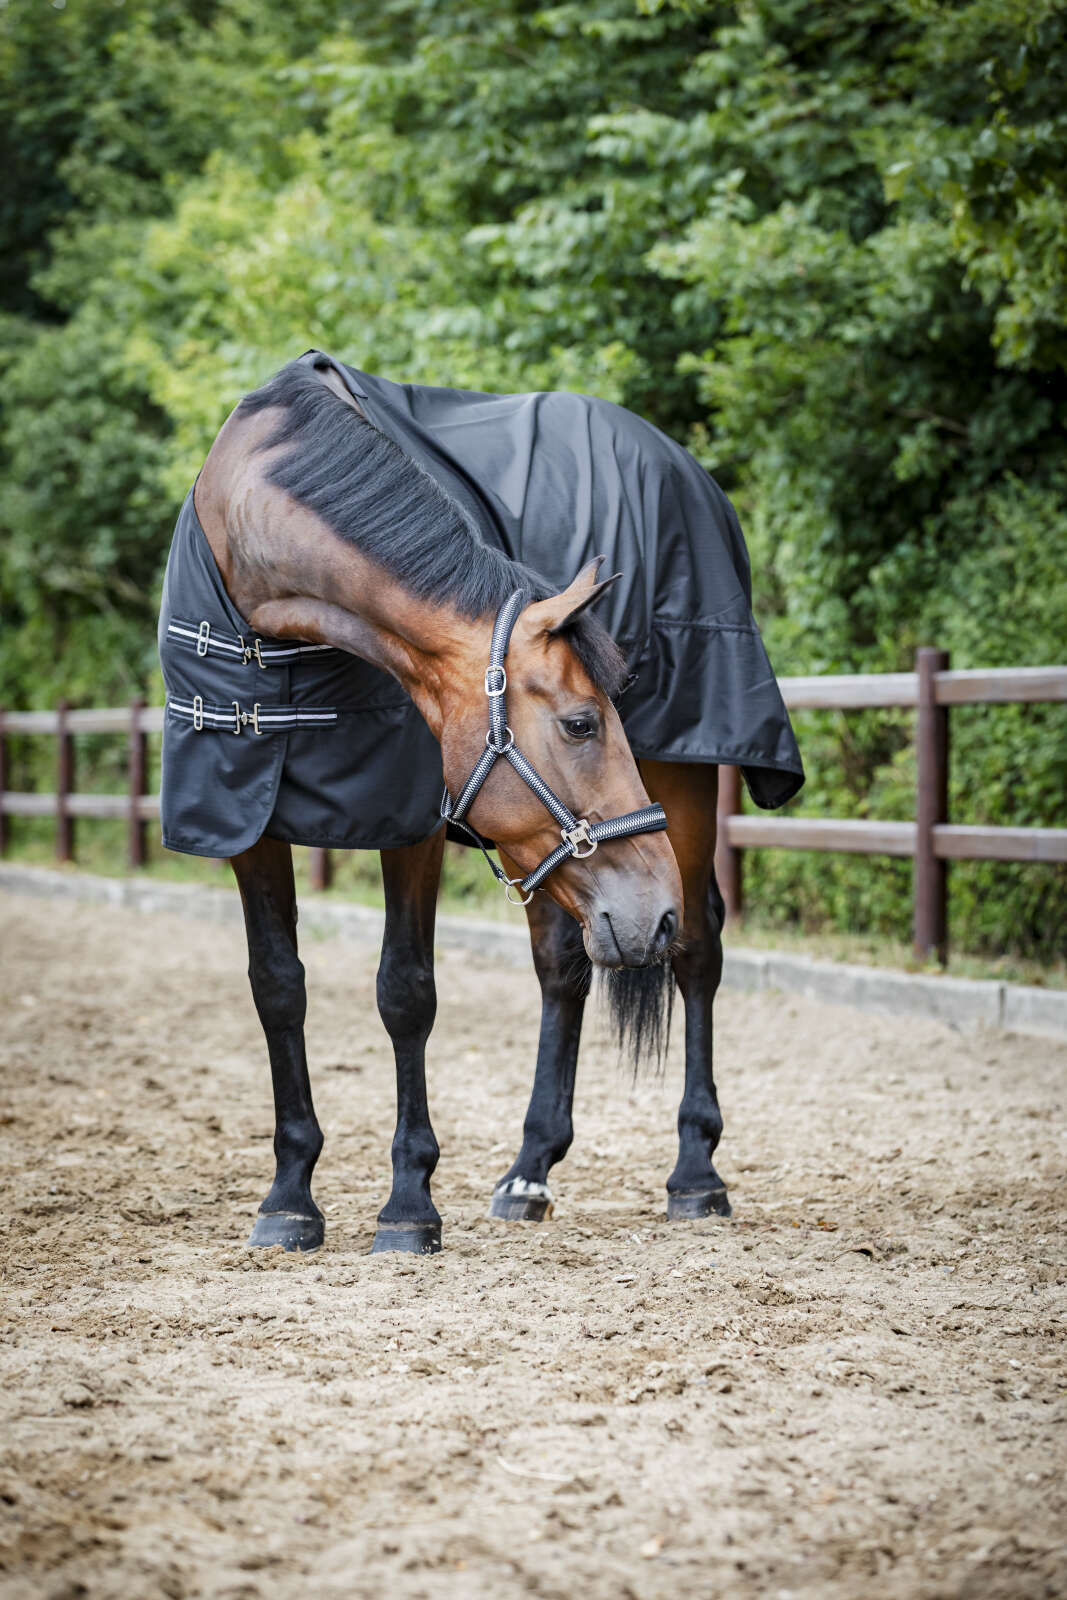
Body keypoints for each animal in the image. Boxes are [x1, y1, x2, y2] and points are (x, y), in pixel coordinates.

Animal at [159, 355, 802, 1253]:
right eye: (580, 721)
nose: (648, 912)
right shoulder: (244, 818)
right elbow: (276, 987)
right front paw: (288, 1196)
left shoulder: (411, 823)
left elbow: (405, 992)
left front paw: (407, 1204)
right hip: (553, 863)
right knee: (566, 965)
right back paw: (529, 1170)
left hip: (677, 790)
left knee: (697, 951)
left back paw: (693, 1173)